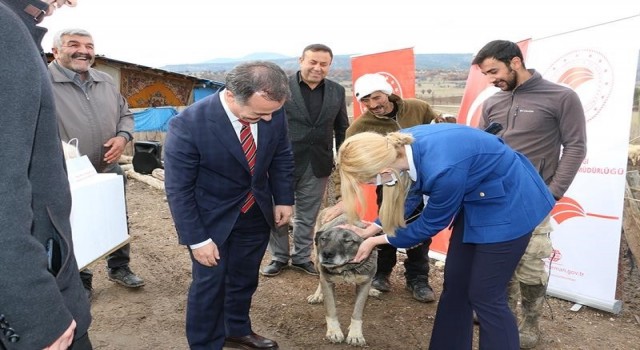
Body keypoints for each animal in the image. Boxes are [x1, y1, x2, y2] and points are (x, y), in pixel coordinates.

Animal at [306, 209, 380, 346]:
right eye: (324, 239)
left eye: (348, 241)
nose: (326, 254)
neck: (346, 268)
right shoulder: (327, 281)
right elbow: (331, 310)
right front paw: (334, 332)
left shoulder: (364, 283)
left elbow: (357, 312)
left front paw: (355, 334)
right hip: (317, 263)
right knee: (320, 279)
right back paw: (317, 295)